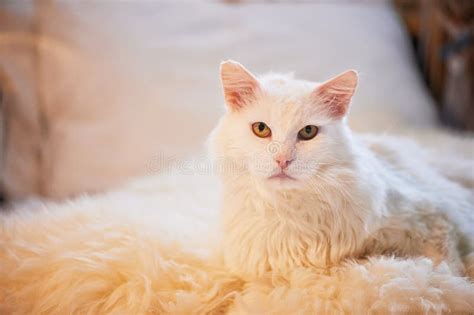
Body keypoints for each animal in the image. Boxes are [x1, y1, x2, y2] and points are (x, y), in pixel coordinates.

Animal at [210, 60, 474, 280]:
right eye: (261, 129)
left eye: (308, 132)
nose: (283, 159)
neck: (290, 212)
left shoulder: (434, 216)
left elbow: (446, 263)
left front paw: (453, 277)